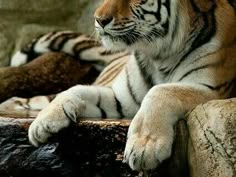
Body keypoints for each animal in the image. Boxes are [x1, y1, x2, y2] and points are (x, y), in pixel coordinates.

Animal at [25, 0, 236, 172]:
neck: (160, 56)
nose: (99, 20)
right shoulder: (122, 99)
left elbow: (162, 90)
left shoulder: (214, 90)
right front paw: (42, 123)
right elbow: (77, 89)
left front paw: (144, 148)